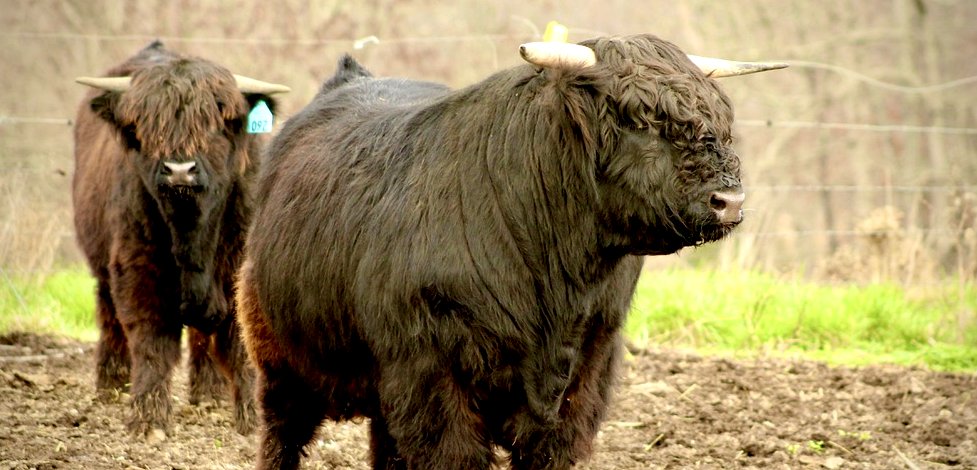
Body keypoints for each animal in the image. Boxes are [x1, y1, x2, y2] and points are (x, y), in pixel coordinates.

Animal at [71, 41, 289, 438]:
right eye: (143, 127)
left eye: (216, 123)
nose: (179, 171)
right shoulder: (138, 269)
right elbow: (152, 344)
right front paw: (149, 419)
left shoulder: (241, 273)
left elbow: (240, 346)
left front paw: (252, 419)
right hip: (101, 266)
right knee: (109, 318)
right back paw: (111, 387)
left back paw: (210, 396)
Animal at [236, 34, 785, 469]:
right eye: (639, 119)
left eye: (718, 117)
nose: (729, 200)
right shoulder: (432, 374)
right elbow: (452, 455)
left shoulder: (583, 376)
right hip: (280, 359)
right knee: (282, 436)